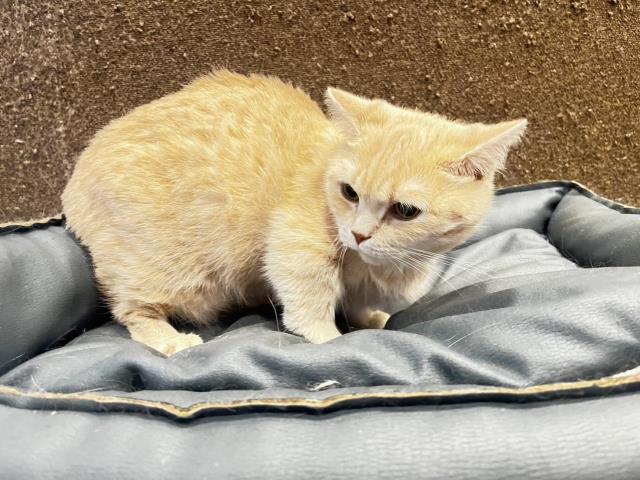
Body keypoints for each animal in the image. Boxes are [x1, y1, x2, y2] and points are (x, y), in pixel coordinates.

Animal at [62, 70, 527, 356]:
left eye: (405, 210)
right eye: (349, 192)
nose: (359, 235)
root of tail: (74, 185)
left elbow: (357, 302)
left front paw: (369, 318)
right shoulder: (296, 248)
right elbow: (310, 300)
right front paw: (328, 337)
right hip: (167, 270)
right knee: (131, 308)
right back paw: (171, 340)